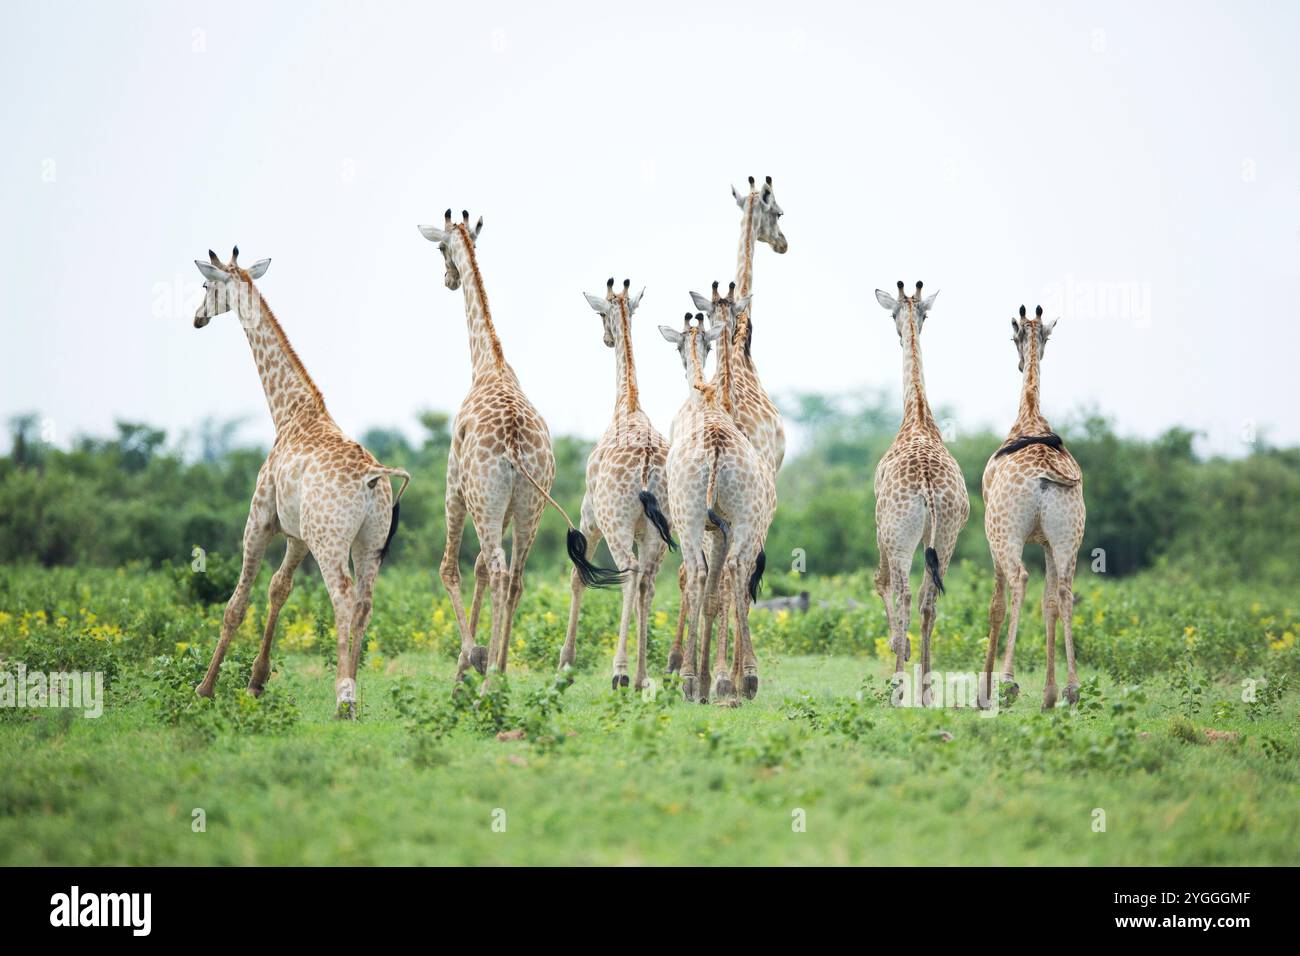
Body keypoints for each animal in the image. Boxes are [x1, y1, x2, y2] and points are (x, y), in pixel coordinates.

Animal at [190, 247, 409, 719]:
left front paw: (205, 688)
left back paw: (343, 700)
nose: (197, 318)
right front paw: (256, 682)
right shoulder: (298, 534)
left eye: (205, 285)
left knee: (343, 597)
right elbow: (279, 588)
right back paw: (354, 694)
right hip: (370, 540)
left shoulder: (259, 519)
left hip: (332, 540)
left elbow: (236, 604)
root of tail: (375, 478)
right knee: (364, 603)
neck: (289, 412)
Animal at [418, 210, 621, 681]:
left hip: (483, 499)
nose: (448, 279)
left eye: (439, 248)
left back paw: (486, 670)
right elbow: (484, 570)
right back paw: (500, 669)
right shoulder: (511, 505)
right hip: (531, 505)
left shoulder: (454, 486)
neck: (487, 363)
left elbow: (455, 568)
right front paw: (483, 659)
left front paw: (467, 661)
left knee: (491, 568)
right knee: (514, 576)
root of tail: (512, 445)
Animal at [557, 279, 676, 690]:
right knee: (647, 581)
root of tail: (646, 467)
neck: (627, 405)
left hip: (615, 523)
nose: (607, 338)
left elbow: (578, 578)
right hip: (659, 531)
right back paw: (640, 676)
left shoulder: (589, 515)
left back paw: (620, 672)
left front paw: (566, 663)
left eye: (599, 312)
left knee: (629, 572)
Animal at [659, 312, 775, 703]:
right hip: (743, 518)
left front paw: (697, 677)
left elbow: (703, 588)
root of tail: (715, 450)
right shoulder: (723, 527)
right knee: (736, 570)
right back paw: (747, 677)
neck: (704, 401)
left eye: (677, 346)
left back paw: (690, 679)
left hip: (689, 518)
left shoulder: (704, 525)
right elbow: (716, 591)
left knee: (696, 572)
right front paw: (715, 678)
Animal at [980, 305, 1086, 710]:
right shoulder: (1045, 541)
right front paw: (1049, 693)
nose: (1020, 360)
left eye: (1012, 337)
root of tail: (1044, 477)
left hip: (1005, 533)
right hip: (1069, 536)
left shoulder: (991, 536)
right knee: (1066, 592)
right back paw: (1071, 690)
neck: (1029, 417)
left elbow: (996, 604)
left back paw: (1007, 684)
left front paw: (984, 690)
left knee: (1020, 580)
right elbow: (1049, 603)